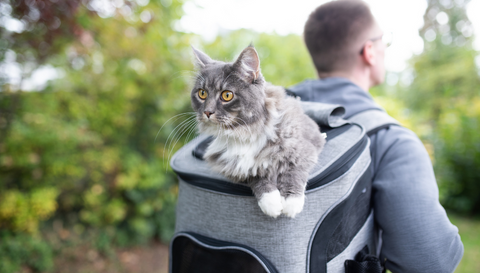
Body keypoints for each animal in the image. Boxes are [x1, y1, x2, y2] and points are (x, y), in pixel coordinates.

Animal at [189, 45, 324, 218]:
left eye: (227, 95)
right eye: (202, 93)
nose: (207, 112)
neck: (243, 133)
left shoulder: (304, 149)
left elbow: (293, 172)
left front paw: (291, 203)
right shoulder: (231, 166)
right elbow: (256, 175)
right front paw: (271, 203)